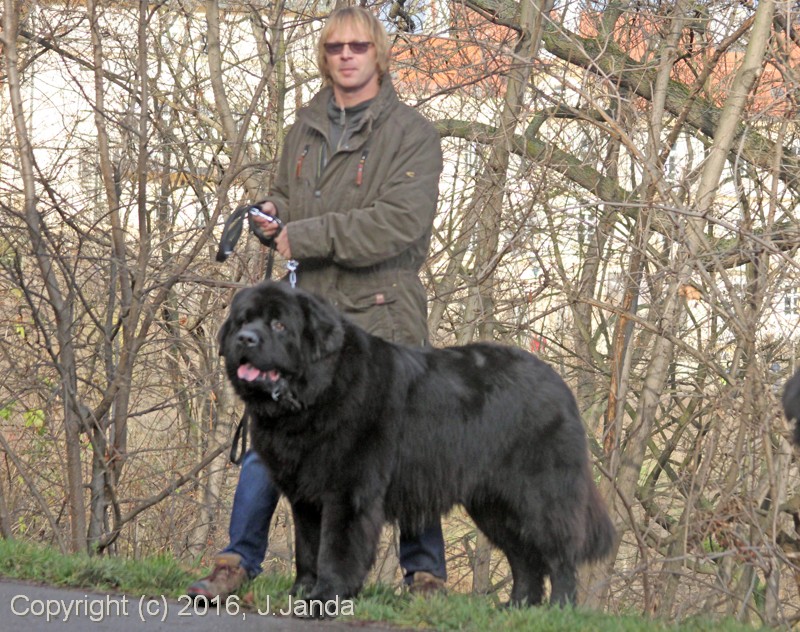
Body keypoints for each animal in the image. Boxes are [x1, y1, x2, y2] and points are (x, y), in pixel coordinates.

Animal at [218, 280, 615, 607]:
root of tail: (558, 383)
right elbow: (308, 549)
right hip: (493, 504)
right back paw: (517, 608)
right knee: (524, 558)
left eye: (279, 325)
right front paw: (301, 593)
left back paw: (559, 608)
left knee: (559, 553)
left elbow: (335, 550)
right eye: (242, 321)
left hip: (538, 496)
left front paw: (325, 598)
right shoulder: (305, 495)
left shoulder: (348, 493)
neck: (316, 395)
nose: (245, 339)